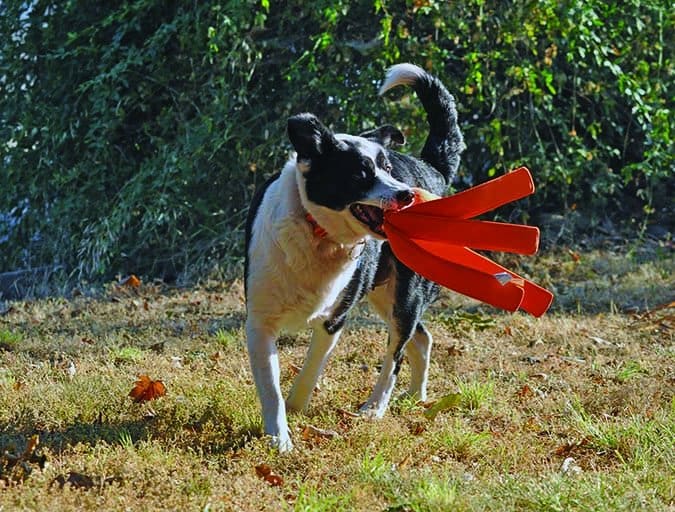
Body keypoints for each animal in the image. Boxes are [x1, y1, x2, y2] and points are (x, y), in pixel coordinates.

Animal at [244, 65, 464, 452]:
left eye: (388, 168)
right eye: (360, 172)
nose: (406, 195)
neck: (319, 233)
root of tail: (431, 169)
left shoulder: (333, 320)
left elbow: (309, 372)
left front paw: (296, 409)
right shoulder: (259, 323)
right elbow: (271, 390)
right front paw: (279, 438)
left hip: (404, 296)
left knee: (396, 353)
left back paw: (375, 407)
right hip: (384, 294)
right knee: (421, 338)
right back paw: (416, 397)